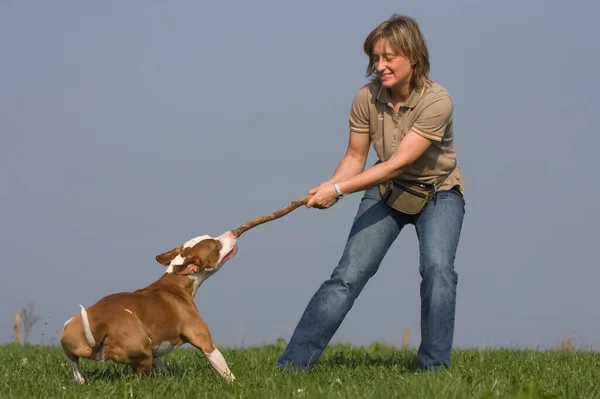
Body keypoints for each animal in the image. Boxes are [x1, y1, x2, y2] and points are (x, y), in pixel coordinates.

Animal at [60, 231, 239, 384]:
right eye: (215, 245)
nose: (232, 232)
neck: (177, 281)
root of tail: (100, 328)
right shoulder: (205, 342)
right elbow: (224, 368)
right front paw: (235, 385)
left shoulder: (156, 348)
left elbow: (161, 364)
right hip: (143, 351)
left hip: (70, 330)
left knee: (75, 365)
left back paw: (80, 380)